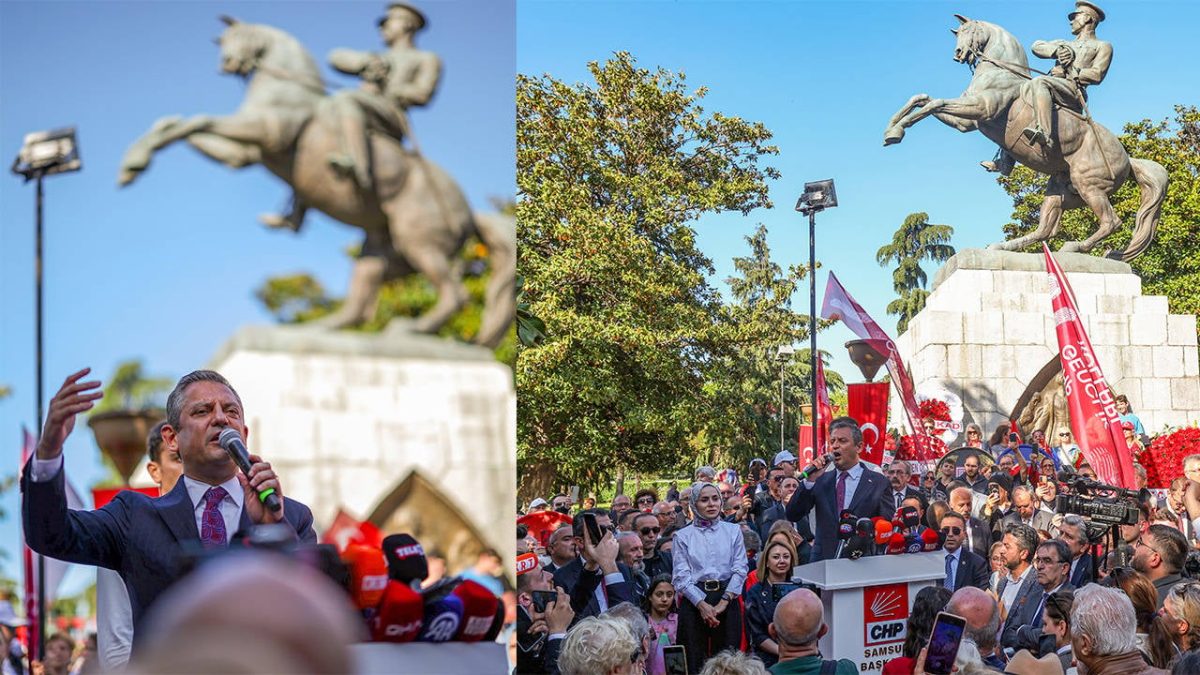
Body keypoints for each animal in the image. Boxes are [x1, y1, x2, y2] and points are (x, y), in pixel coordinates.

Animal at [117, 17, 516, 345]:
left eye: (241, 37)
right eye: (221, 42)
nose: (227, 64)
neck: (287, 89)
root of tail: (469, 210)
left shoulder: (264, 132)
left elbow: (195, 120)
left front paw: (134, 162)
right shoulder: (243, 154)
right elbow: (177, 124)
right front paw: (132, 164)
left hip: (419, 241)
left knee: (454, 295)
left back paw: (409, 329)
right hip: (381, 249)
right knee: (360, 304)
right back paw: (318, 329)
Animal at [878, 15, 1166, 263]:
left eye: (970, 31)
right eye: (957, 33)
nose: (958, 54)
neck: (1001, 72)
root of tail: (1128, 158)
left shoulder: (979, 109)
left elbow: (933, 103)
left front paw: (896, 132)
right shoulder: (966, 121)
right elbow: (922, 99)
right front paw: (891, 130)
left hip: (1089, 186)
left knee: (1110, 222)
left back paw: (1073, 247)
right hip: (1060, 191)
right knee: (1046, 229)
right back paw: (1001, 246)